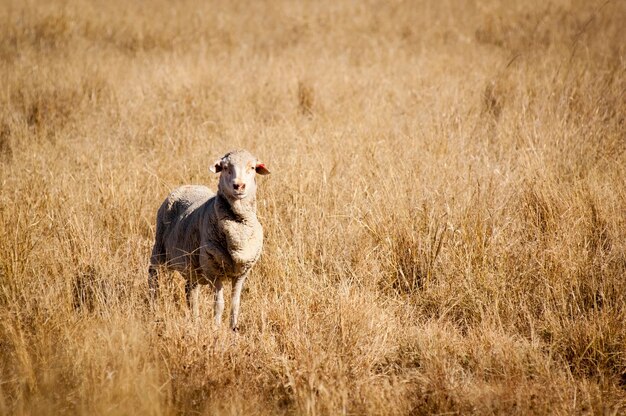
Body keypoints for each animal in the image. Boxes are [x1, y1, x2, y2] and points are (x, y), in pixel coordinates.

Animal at [149, 150, 270, 332]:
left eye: (253, 168)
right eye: (225, 167)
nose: (239, 186)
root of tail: (187, 186)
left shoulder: (241, 273)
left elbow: (235, 304)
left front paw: (233, 329)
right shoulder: (213, 269)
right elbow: (219, 304)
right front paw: (217, 329)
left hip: (191, 266)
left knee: (190, 292)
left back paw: (195, 320)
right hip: (159, 250)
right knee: (153, 277)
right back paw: (153, 304)